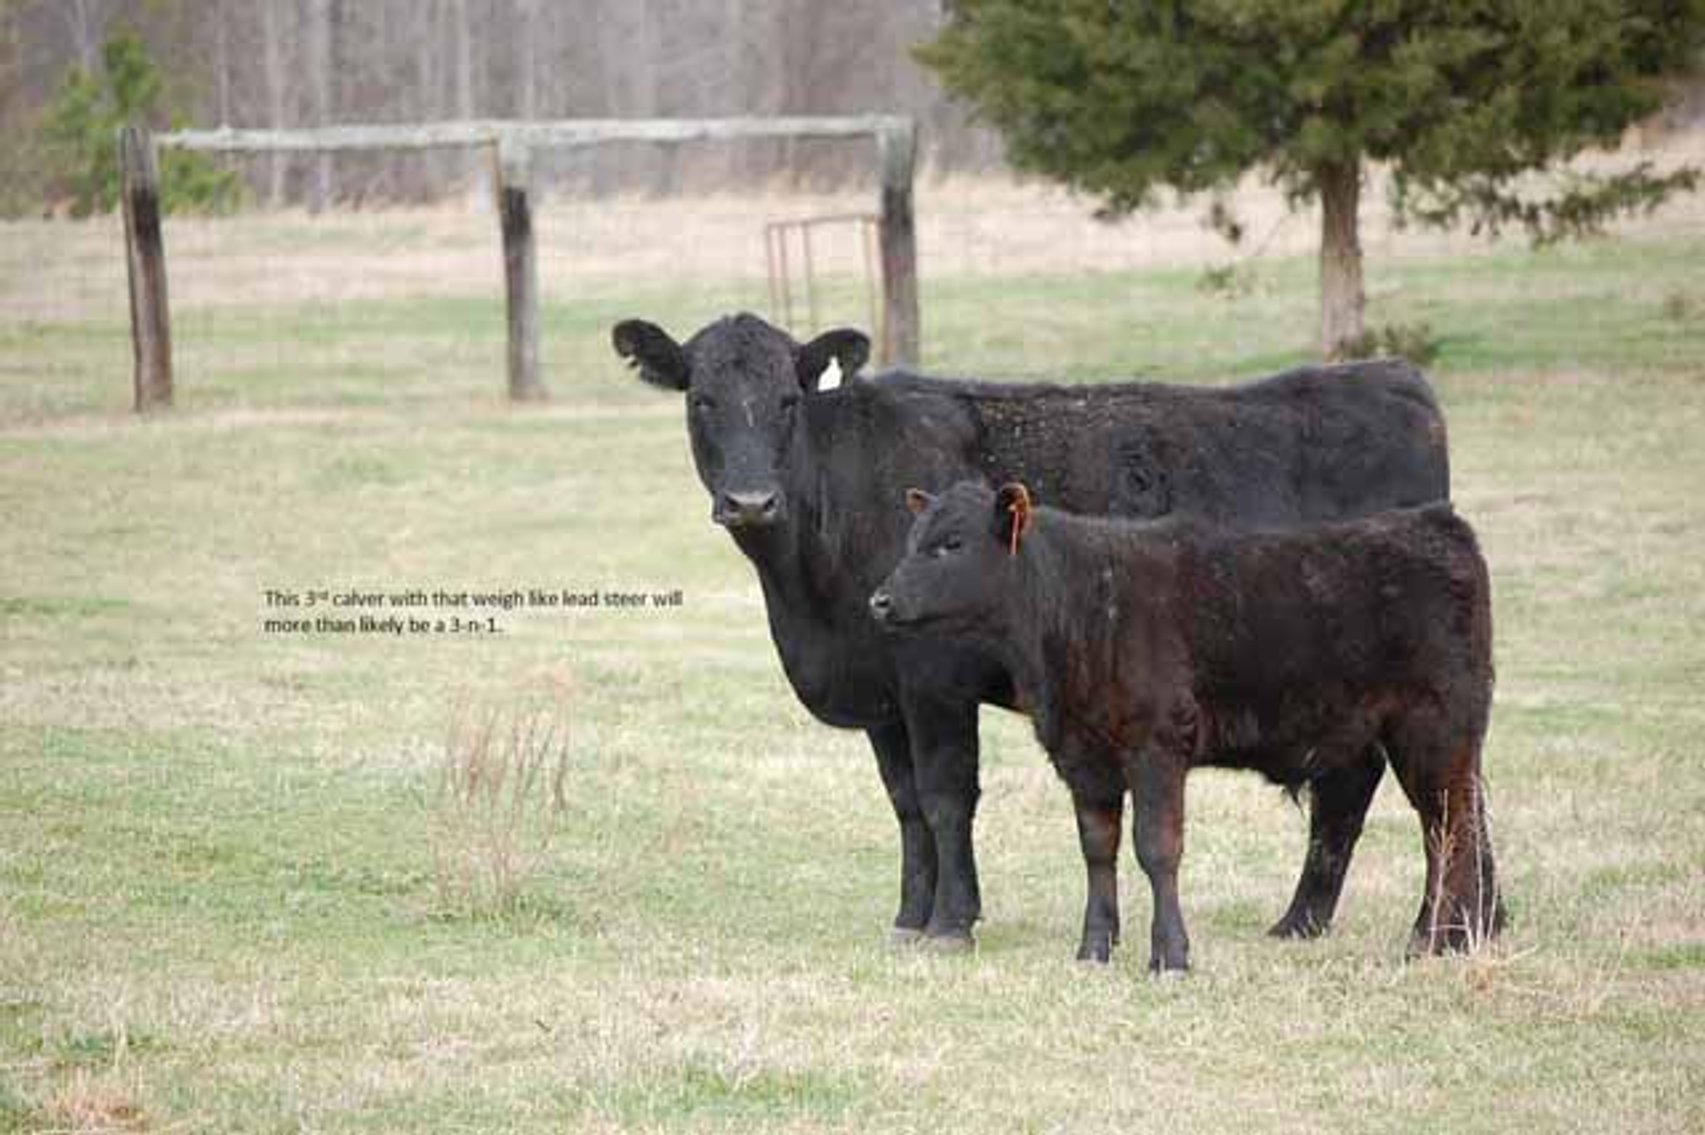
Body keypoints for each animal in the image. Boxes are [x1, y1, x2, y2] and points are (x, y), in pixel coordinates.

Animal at [611, 312, 1449, 950]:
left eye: (788, 399)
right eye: (700, 399)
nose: (751, 501)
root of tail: (1384, 376)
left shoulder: (934, 674)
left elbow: (946, 793)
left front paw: (950, 922)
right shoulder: (882, 689)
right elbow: (905, 801)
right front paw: (909, 916)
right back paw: (1302, 921)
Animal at [870, 481, 1503, 969]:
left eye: (952, 544)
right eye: (912, 539)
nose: (879, 601)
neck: (1083, 605)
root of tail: (1433, 521)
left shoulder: (1157, 746)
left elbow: (1157, 847)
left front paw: (1169, 954)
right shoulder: (1082, 756)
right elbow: (1097, 849)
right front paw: (1094, 949)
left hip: (1435, 725)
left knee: (1451, 828)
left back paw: (1432, 941)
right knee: (1439, 826)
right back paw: (1444, 937)